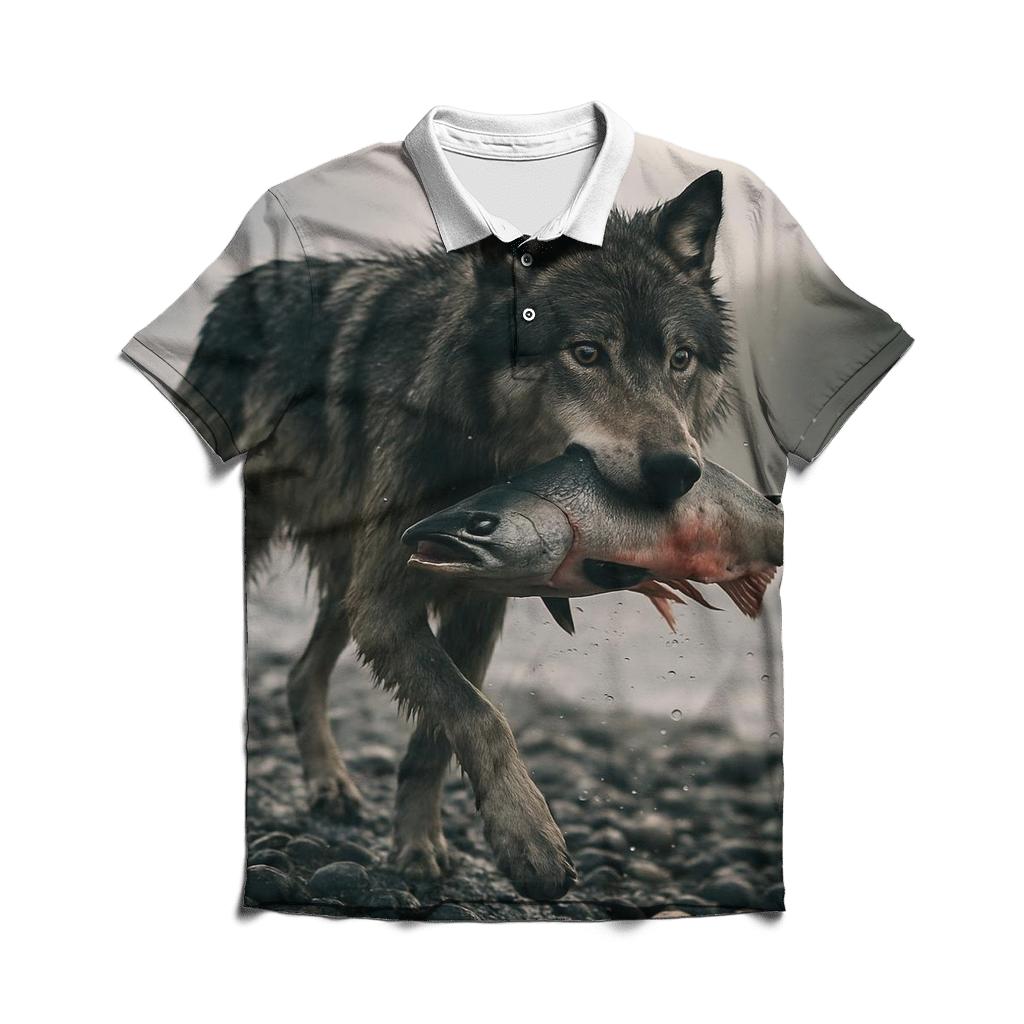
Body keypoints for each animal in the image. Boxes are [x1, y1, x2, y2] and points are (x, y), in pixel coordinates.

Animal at [188, 169, 733, 901]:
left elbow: (437, 738)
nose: (679, 470)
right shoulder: (389, 605)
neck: (489, 456)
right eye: (587, 353)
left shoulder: (473, 606)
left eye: (681, 358)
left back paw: (331, 786)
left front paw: (420, 846)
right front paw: (531, 841)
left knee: (302, 675)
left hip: (350, 577)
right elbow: (480, 716)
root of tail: (244, 281)